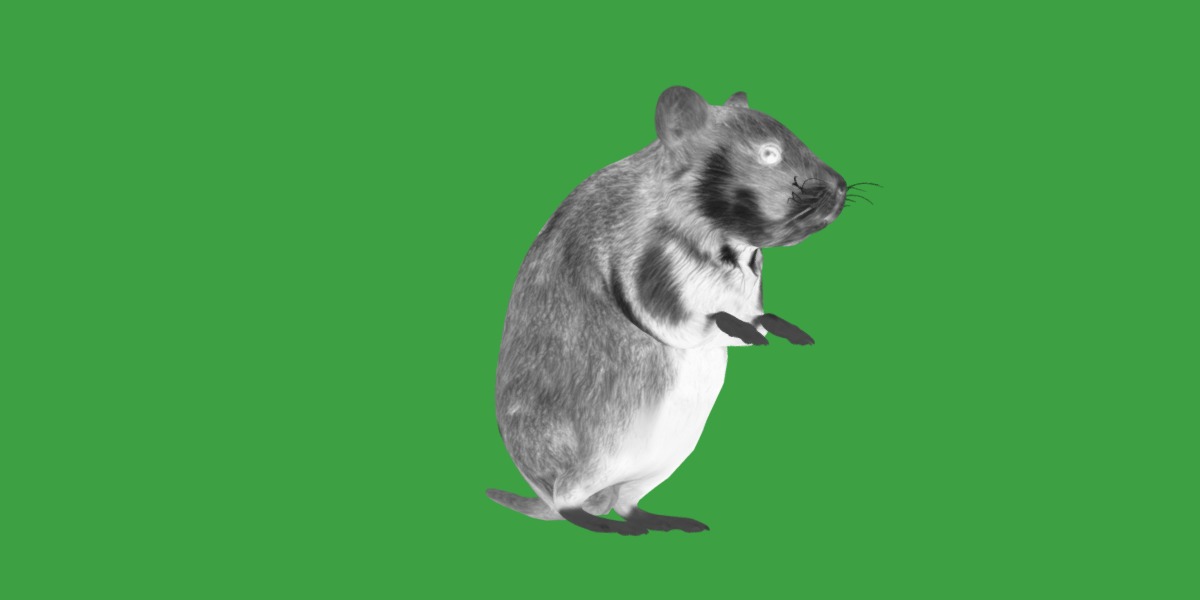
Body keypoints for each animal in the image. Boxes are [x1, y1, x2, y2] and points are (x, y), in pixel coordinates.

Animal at [488, 86, 847, 535]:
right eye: (769, 154)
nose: (842, 186)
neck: (732, 247)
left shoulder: (748, 296)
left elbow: (760, 317)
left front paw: (794, 334)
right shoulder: (647, 278)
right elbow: (699, 320)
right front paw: (748, 333)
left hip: (661, 462)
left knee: (626, 502)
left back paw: (668, 522)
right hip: (593, 459)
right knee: (570, 504)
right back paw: (607, 526)